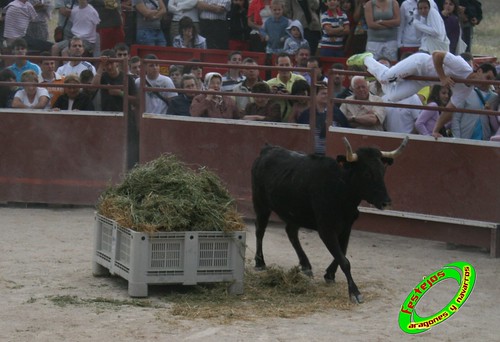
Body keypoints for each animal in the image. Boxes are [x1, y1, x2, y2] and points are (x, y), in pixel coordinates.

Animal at [252, 136, 408, 302]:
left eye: (382, 171)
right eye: (367, 174)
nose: (386, 202)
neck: (340, 189)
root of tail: (267, 149)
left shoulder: (346, 227)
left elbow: (343, 252)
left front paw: (330, 274)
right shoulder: (326, 230)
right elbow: (344, 260)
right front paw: (355, 292)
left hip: (295, 213)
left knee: (291, 232)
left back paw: (306, 265)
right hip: (261, 204)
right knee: (260, 230)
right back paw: (260, 262)